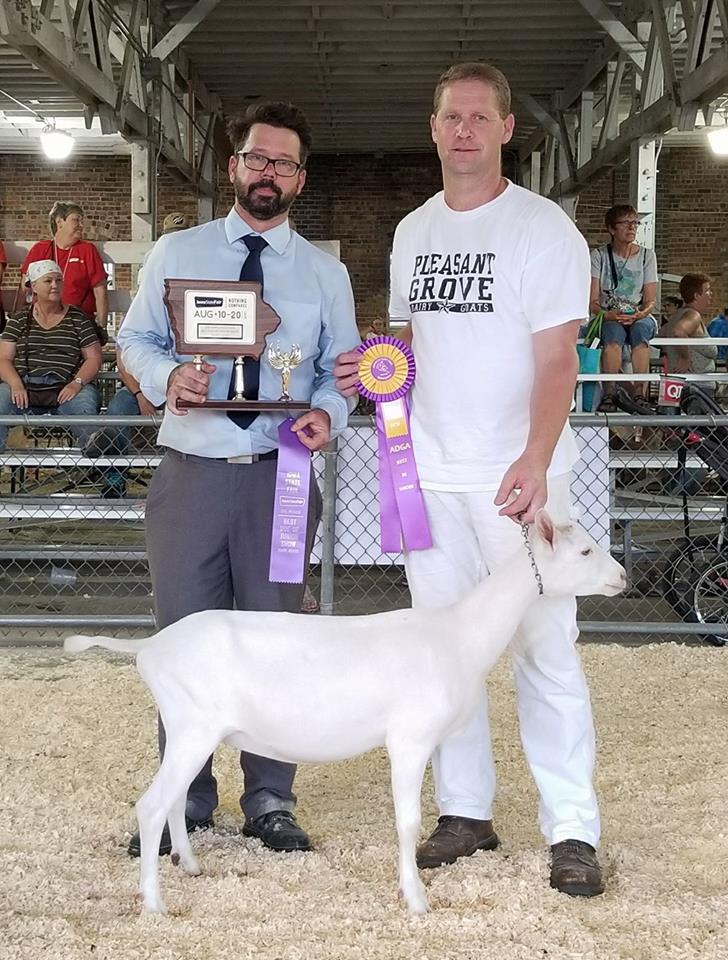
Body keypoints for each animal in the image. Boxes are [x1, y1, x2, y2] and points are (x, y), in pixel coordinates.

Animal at [65, 510, 624, 916]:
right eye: (584, 550)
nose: (620, 576)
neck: (457, 634)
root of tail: (150, 646)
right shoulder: (409, 738)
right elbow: (407, 821)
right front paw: (416, 899)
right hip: (191, 727)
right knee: (151, 805)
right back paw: (155, 903)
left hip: (192, 733)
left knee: (175, 799)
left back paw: (190, 866)